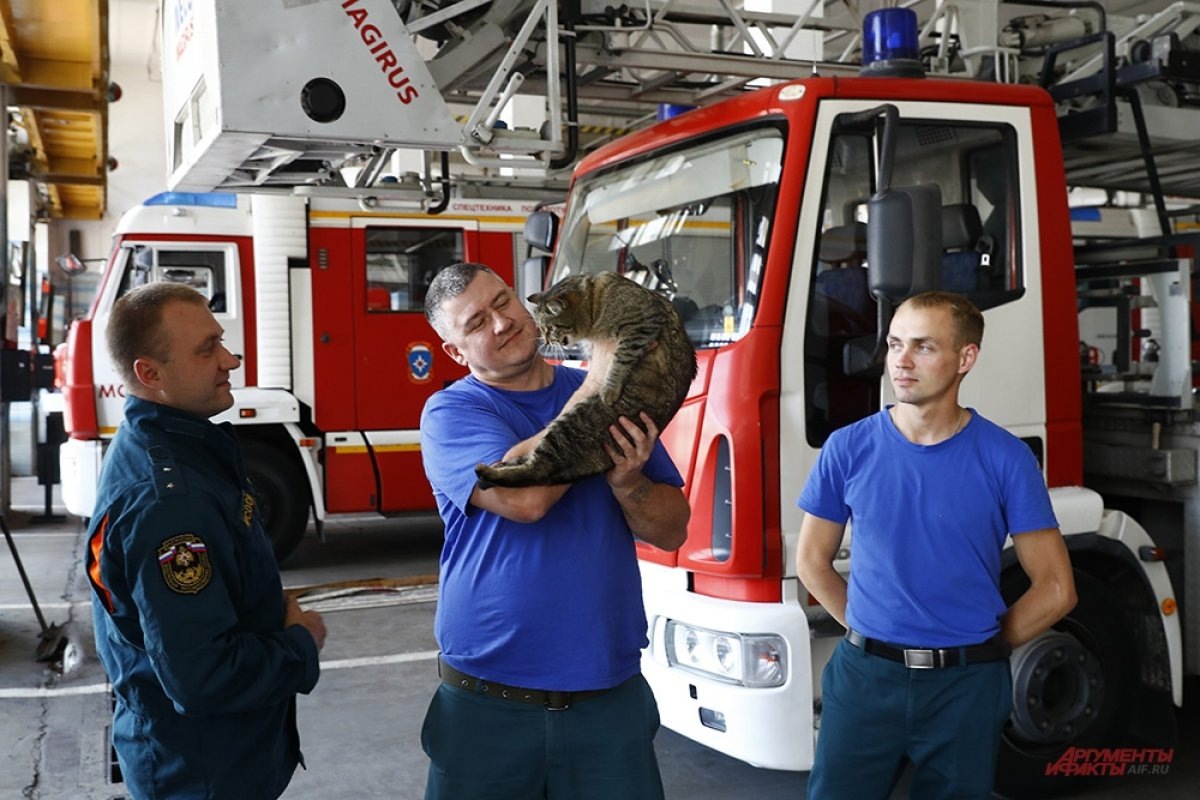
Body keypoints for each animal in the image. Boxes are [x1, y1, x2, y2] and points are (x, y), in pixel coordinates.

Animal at [472, 272, 700, 489]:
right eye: (542, 329)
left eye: (550, 328)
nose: (545, 341)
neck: (594, 303)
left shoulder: (642, 325)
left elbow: (621, 358)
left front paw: (609, 390)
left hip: (572, 426)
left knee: (539, 471)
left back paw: (488, 472)